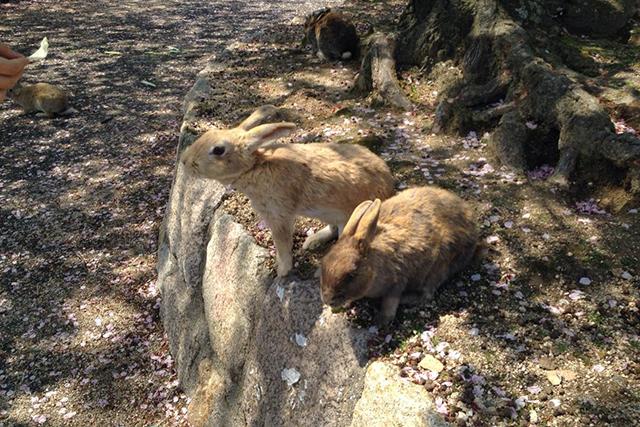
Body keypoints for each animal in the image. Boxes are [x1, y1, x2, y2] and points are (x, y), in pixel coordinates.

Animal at [180, 106, 396, 278]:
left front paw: (282, 272)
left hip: (351, 216)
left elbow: (282, 244)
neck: (255, 166)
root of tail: (389, 188)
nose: (184, 161)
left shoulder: (279, 215)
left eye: (218, 150)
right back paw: (311, 242)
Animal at [320, 186, 480, 324]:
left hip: (439, 266)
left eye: (352, 275)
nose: (327, 299)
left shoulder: (397, 281)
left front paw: (382, 320)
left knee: (427, 294)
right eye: (323, 263)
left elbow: (390, 302)